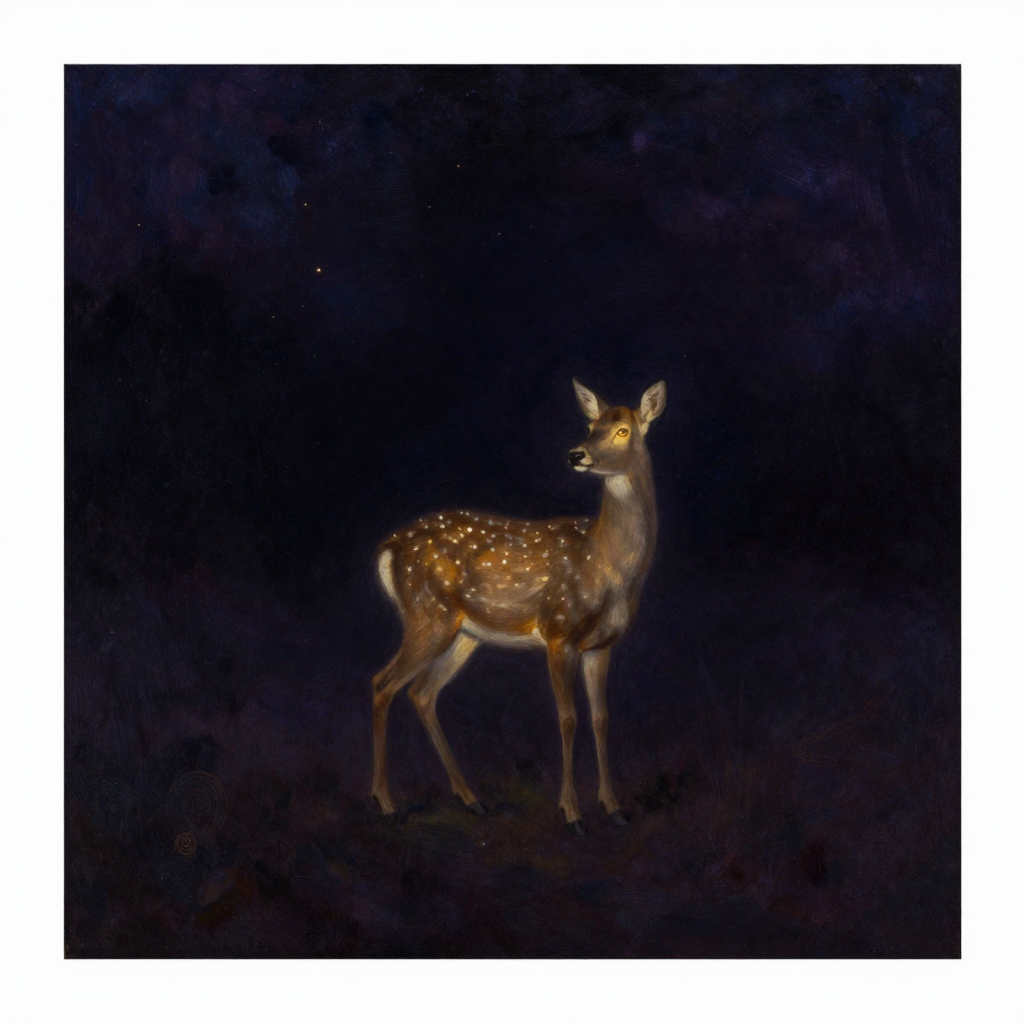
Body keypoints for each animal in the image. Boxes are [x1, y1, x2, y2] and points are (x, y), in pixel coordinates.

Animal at [370, 379, 667, 835]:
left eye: (623, 430)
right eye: (590, 425)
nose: (577, 454)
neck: (608, 566)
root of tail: (389, 548)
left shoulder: (602, 645)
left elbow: (601, 719)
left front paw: (614, 808)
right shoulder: (560, 632)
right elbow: (568, 718)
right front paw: (572, 813)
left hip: (463, 633)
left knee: (422, 692)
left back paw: (472, 799)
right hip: (427, 615)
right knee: (382, 684)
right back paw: (386, 804)